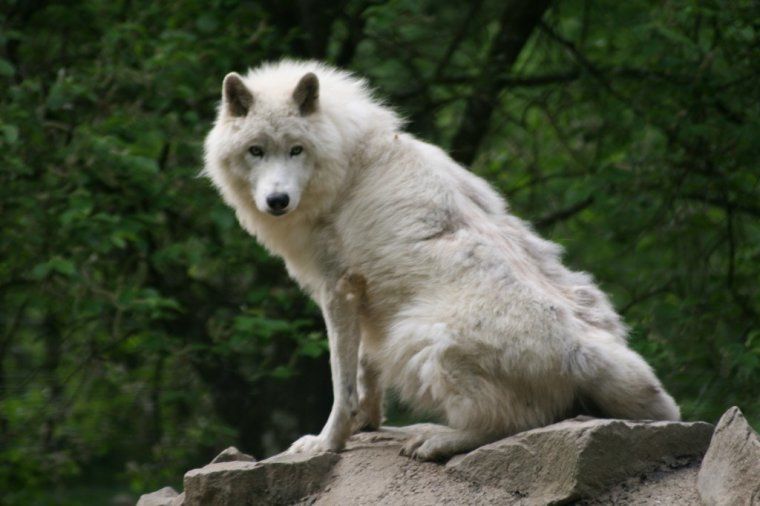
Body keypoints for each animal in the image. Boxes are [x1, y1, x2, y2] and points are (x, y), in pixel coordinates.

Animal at [200, 60, 676, 462]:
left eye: (296, 150)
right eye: (256, 151)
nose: (277, 201)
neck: (347, 161)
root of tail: (587, 353)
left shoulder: (337, 290)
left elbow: (342, 383)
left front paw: (328, 442)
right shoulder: (369, 297)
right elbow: (367, 374)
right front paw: (367, 426)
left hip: (420, 334)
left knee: (514, 424)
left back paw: (436, 439)